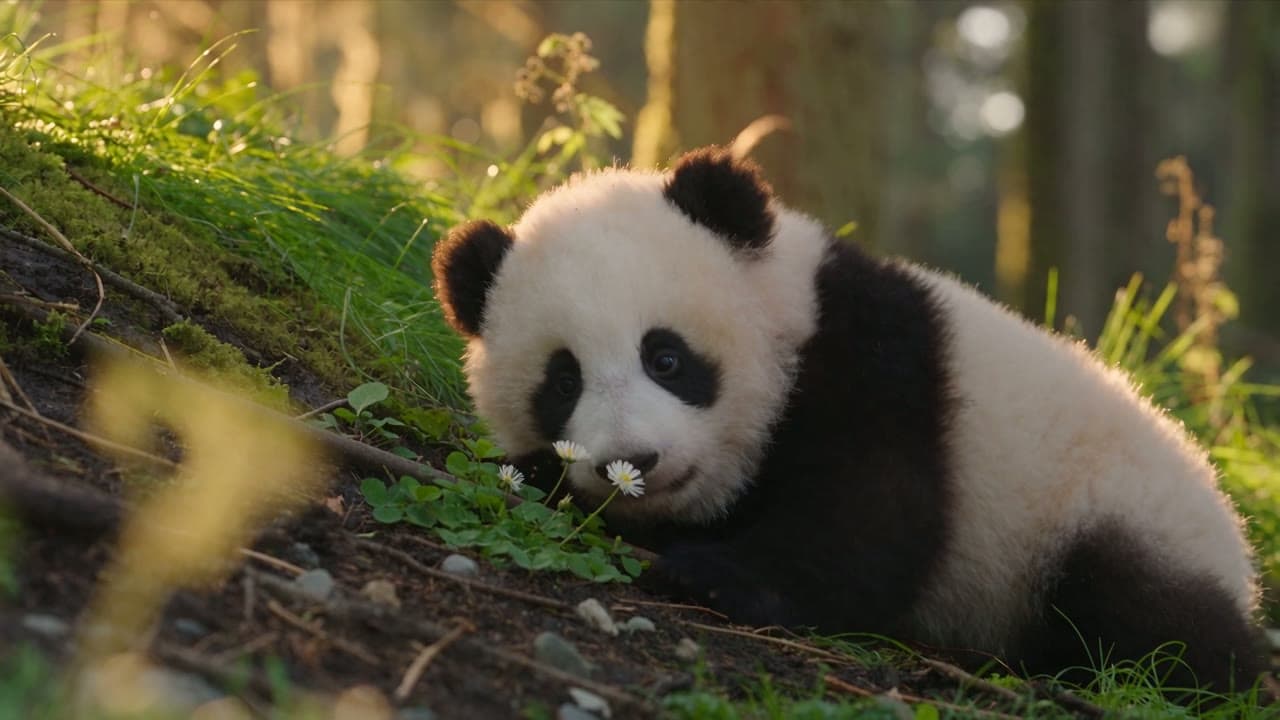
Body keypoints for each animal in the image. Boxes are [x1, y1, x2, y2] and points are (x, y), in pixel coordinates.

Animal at [430, 147, 1266, 693]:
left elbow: (874, 518)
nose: (628, 463)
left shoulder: (880, 365)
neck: (792, 316)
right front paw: (530, 472)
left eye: (666, 357)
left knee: (1146, 618)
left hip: (1113, 516)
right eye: (562, 381)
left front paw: (713, 575)